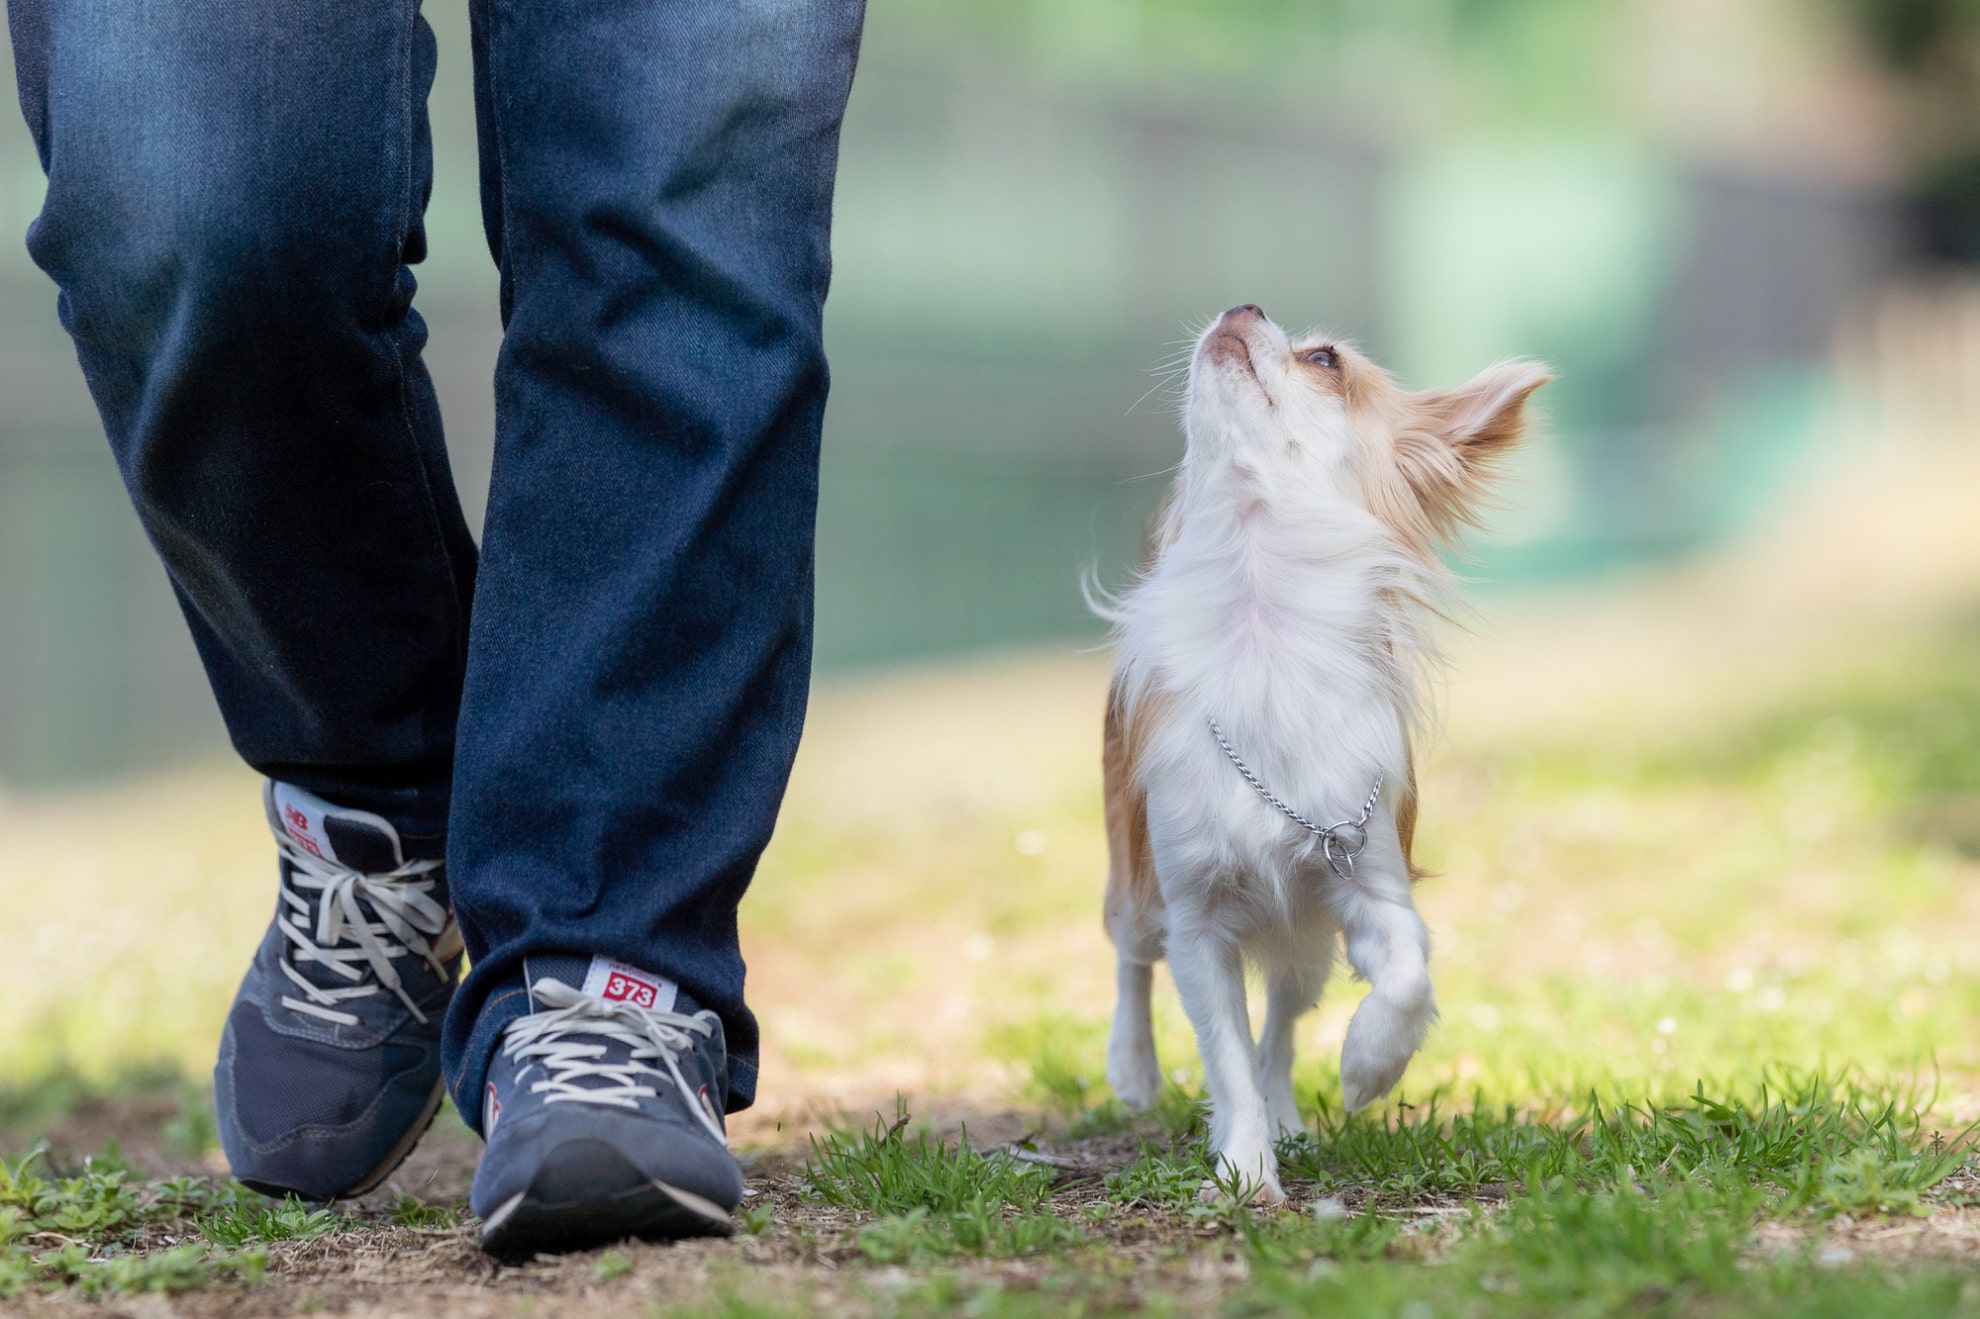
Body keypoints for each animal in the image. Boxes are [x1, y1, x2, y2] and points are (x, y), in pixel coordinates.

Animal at [1100, 303, 1544, 1196]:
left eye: (1327, 359)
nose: (1242, 306)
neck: (1263, 637)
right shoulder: (1198, 922)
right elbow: (1225, 1056)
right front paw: (1244, 1167)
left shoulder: (1366, 885)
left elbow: (1406, 974)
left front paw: (1369, 1066)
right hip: (1134, 872)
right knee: (1132, 955)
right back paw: (1133, 1066)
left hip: (1303, 941)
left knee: (1280, 1024)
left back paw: (1291, 1116)